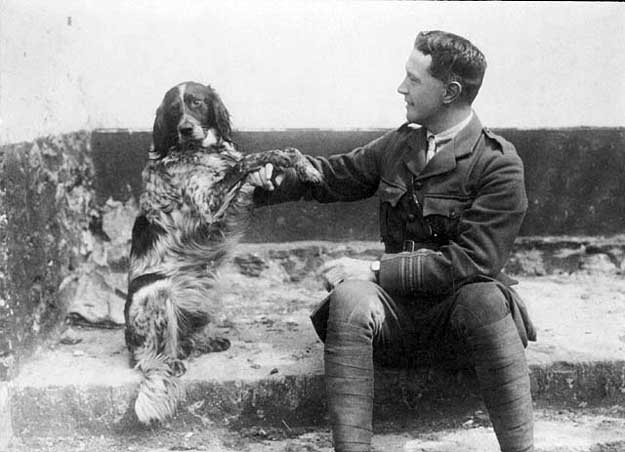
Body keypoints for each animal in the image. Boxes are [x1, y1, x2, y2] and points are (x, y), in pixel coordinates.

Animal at [126, 81, 322, 424]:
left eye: (197, 103)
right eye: (174, 110)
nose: (186, 128)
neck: (200, 151)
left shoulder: (245, 197)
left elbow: (274, 156)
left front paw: (306, 167)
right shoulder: (208, 204)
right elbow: (250, 158)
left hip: (208, 288)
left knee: (187, 336)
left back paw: (203, 341)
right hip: (155, 289)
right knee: (149, 358)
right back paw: (169, 362)